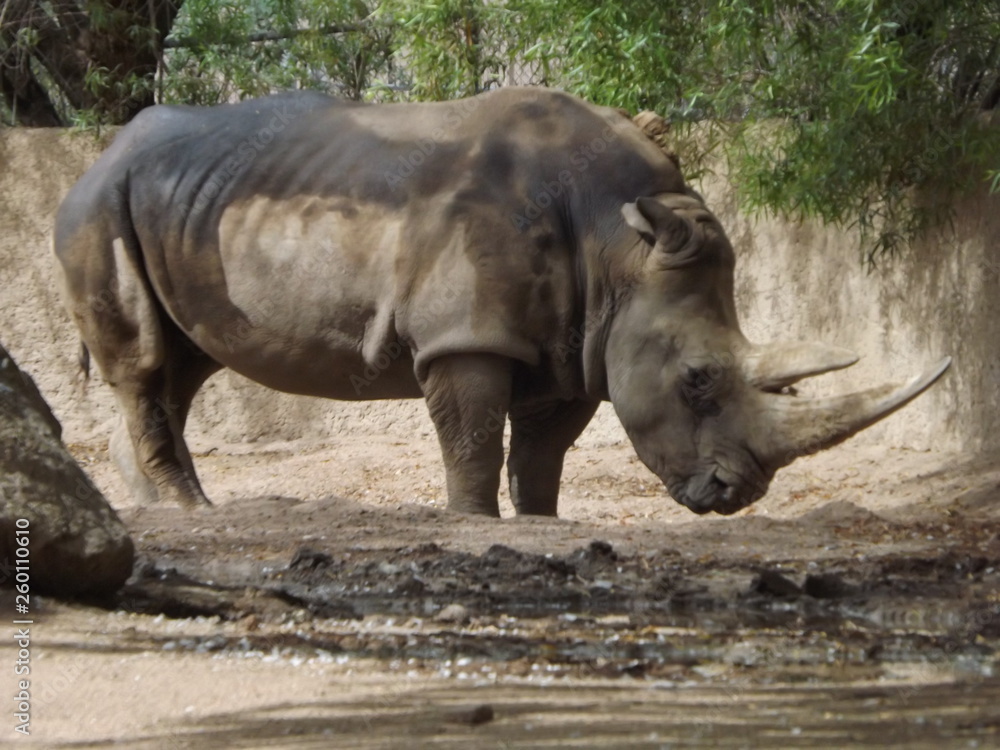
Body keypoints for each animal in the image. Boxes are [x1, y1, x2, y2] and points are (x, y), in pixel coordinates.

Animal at [54, 87, 950, 517]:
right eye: (697, 379)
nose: (735, 496)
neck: (620, 243)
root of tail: (97, 157)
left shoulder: (578, 343)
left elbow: (543, 453)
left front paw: (544, 524)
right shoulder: (468, 336)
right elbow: (476, 442)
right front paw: (474, 523)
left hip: (178, 203)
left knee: (181, 366)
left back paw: (161, 510)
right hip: (99, 210)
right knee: (146, 362)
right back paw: (192, 510)